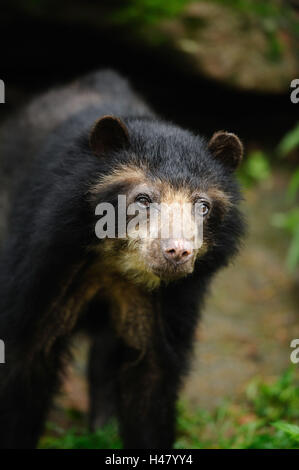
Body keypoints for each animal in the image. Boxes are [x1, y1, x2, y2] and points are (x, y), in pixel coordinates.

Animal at [0, 69, 245, 448]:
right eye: (143, 199)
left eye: (202, 206)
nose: (177, 252)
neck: (115, 262)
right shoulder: (46, 260)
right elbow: (27, 355)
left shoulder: (166, 300)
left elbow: (151, 374)